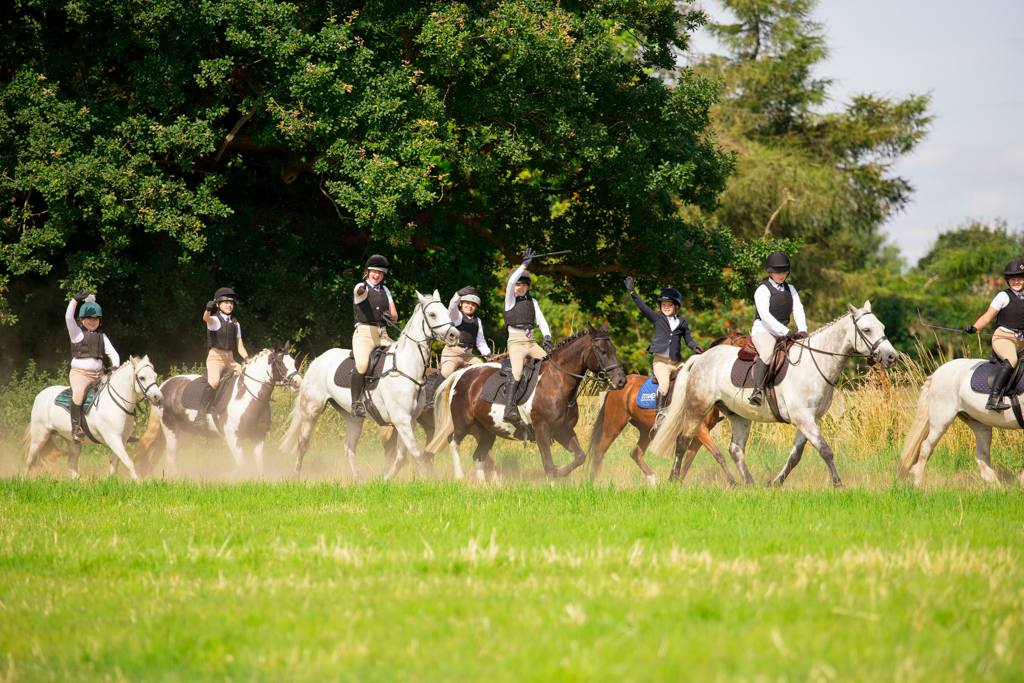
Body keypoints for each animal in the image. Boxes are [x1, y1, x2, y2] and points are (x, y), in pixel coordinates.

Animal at [22, 358, 162, 481]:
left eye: (155, 375)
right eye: (142, 377)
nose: (158, 397)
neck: (116, 403)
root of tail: (40, 395)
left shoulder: (122, 440)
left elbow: (114, 464)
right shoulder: (114, 439)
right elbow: (128, 462)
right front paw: (138, 483)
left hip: (73, 441)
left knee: (71, 464)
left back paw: (80, 482)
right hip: (40, 436)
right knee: (29, 460)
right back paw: (24, 480)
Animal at [278, 290, 458, 483]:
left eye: (447, 312)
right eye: (432, 314)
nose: (455, 336)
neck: (406, 367)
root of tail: (316, 360)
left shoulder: (410, 420)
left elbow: (402, 457)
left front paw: (386, 480)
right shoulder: (401, 419)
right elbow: (415, 453)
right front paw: (425, 481)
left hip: (353, 417)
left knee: (349, 447)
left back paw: (359, 479)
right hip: (312, 409)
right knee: (303, 444)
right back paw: (295, 476)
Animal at [421, 325, 626, 481]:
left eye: (615, 350)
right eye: (603, 351)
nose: (622, 381)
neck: (556, 383)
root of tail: (461, 374)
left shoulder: (564, 431)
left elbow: (580, 457)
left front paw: (561, 471)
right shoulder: (543, 431)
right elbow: (548, 463)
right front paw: (553, 483)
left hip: (486, 431)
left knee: (478, 456)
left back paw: (485, 486)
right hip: (463, 423)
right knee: (453, 443)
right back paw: (459, 476)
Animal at [651, 303, 892, 485]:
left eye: (882, 327)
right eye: (867, 330)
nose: (892, 357)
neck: (815, 363)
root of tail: (701, 357)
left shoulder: (809, 419)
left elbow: (795, 456)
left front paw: (774, 483)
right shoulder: (803, 418)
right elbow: (825, 450)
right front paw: (838, 484)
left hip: (738, 415)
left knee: (735, 449)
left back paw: (750, 485)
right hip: (698, 407)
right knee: (683, 440)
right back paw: (673, 480)